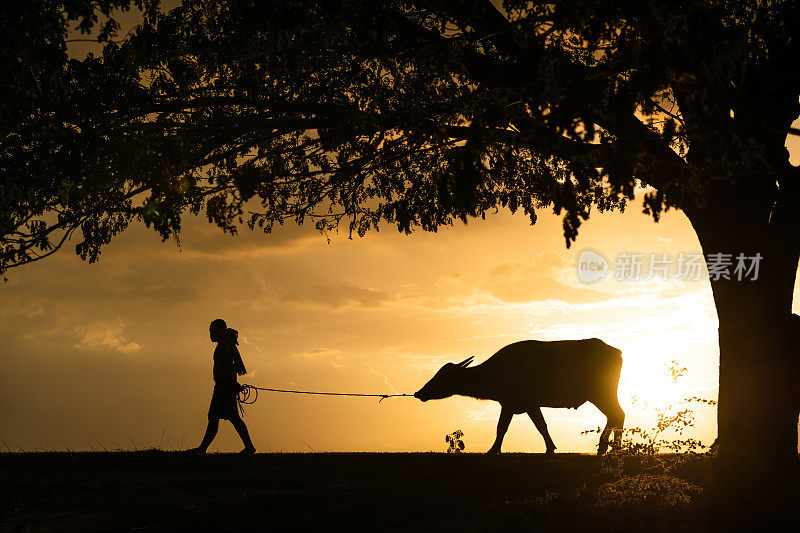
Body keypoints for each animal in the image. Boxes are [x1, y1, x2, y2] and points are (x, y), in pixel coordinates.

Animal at [412, 338, 624, 456]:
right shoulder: (519, 405)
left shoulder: (518, 404)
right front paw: (550, 448)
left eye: (443, 377)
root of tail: (616, 351)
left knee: (617, 415)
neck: (495, 372)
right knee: (614, 416)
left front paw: (492, 451)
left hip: (602, 394)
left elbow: (506, 428)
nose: (419, 393)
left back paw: (609, 449)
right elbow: (533, 426)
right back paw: (609, 448)